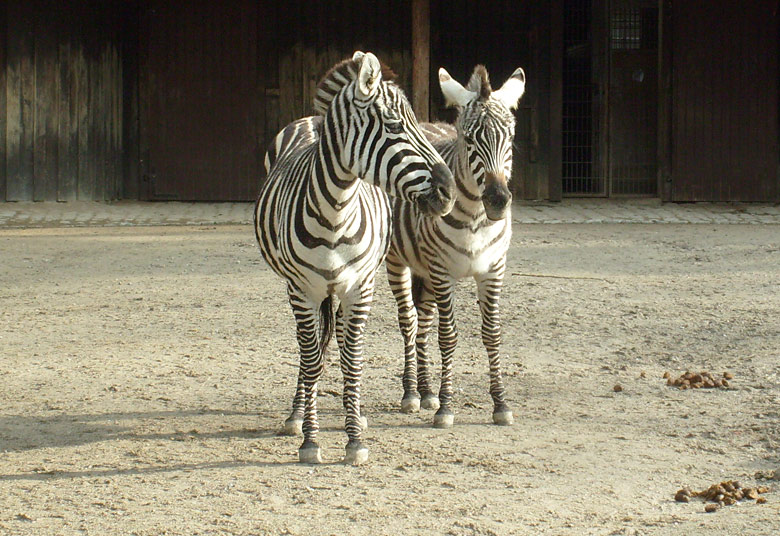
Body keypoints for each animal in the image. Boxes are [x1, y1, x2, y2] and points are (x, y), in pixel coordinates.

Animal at [253, 51, 454, 464]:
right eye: (394, 125)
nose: (448, 192)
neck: (336, 211)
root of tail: (312, 118)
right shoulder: (302, 290)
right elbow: (311, 358)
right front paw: (310, 440)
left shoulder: (360, 287)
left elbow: (353, 359)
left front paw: (354, 438)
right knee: (311, 350)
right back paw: (297, 413)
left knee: (343, 344)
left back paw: (356, 414)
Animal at [386, 65, 528, 430]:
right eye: (469, 140)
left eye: (510, 138)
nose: (498, 200)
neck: (476, 219)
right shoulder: (442, 270)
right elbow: (448, 336)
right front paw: (447, 407)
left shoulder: (493, 270)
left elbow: (491, 333)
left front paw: (500, 403)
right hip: (398, 261)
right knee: (409, 320)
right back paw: (411, 392)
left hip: (425, 272)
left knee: (424, 320)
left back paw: (426, 390)